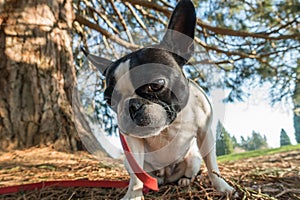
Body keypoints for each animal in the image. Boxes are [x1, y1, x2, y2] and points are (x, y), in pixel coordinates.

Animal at [84, 0, 234, 199]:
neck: (169, 126)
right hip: (129, 162)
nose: (131, 106)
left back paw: (185, 180)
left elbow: (212, 164)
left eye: (155, 85)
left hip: (193, 158)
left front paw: (222, 187)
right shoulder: (132, 143)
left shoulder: (205, 133)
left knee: (191, 171)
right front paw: (133, 195)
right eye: (109, 100)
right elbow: (137, 176)